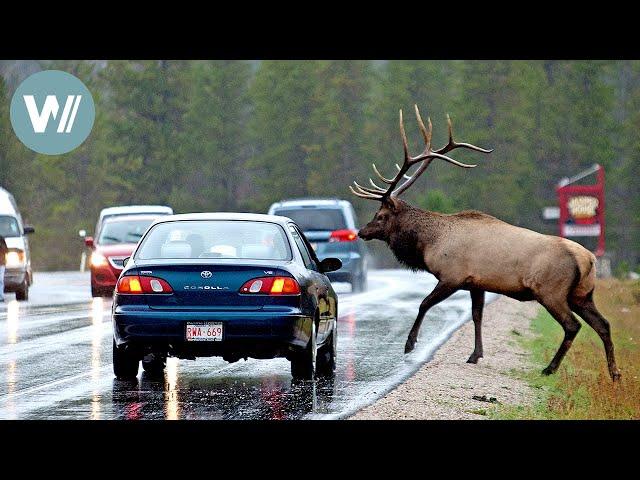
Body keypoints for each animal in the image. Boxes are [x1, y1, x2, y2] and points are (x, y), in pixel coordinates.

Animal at [350, 106, 620, 382]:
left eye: (381, 216)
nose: (362, 231)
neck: (428, 244)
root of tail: (589, 259)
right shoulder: (476, 283)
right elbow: (477, 315)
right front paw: (475, 354)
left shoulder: (452, 276)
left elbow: (424, 303)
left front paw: (409, 344)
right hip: (583, 294)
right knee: (604, 324)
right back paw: (615, 373)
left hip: (551, 291)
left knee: (572, 325)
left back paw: (550, 368)